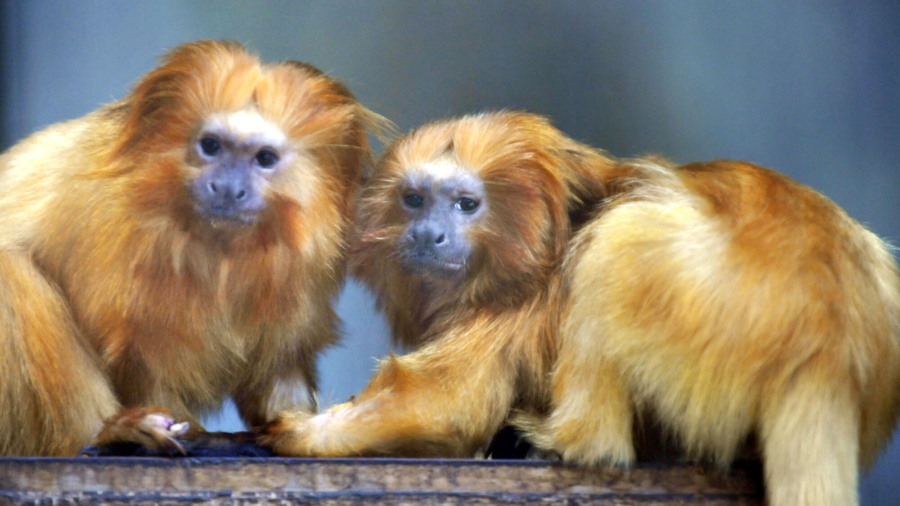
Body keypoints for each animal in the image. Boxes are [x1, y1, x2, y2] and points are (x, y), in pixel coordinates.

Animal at [0, 40, 378, 456]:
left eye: (264, 158)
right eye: (210, 146)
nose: (227, 187)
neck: (219, 253)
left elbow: (279, 361)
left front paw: (299, 425)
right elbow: (140, 359)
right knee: (12, 273)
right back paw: (109, 432)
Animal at [260, 111, 900, 506]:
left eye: (466, 205)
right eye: (414, 200)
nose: (426, 235)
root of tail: (828, 334)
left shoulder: (526, 300)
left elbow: (447, 404)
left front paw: (297, 435)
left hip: (710, 295)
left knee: (615, 244)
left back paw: (568, 440)